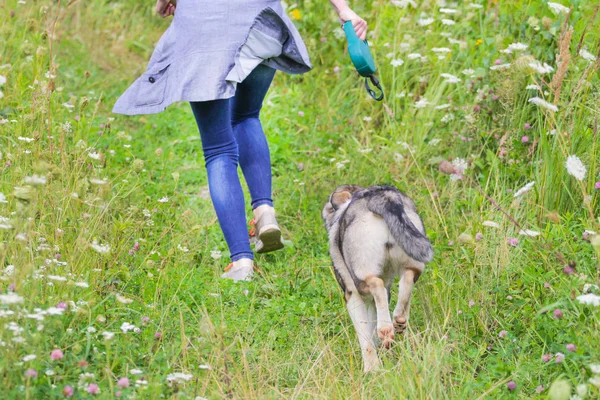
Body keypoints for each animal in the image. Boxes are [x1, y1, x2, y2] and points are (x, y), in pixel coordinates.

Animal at [324, 184, 432, 372]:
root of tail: (385, 196)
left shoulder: (352, 296)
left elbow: (365, 337)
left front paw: (372, 368)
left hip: (361, 276)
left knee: (377, 286)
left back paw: (386, 329)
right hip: (412, 259)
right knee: (407, 280)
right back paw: (399, 321)